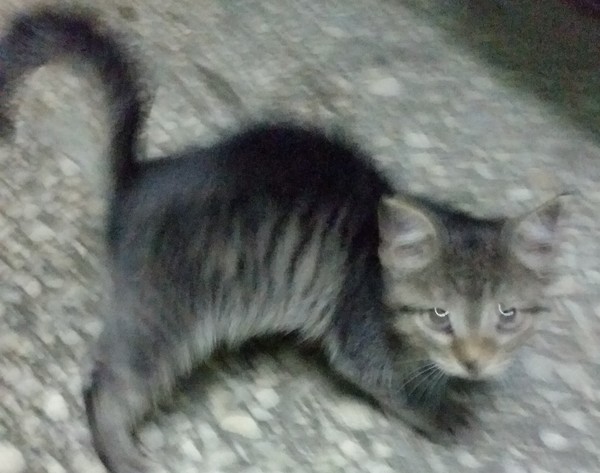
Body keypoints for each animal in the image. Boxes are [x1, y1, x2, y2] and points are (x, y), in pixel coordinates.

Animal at [0, 6, 567, 473]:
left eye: (507, 315)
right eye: (439, 316)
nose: (475, 361)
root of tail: (138, 178)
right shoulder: (358, 335)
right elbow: (392, 383)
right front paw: (439, 407)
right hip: (163, 317)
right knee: (107, 386)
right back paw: (121, 451)